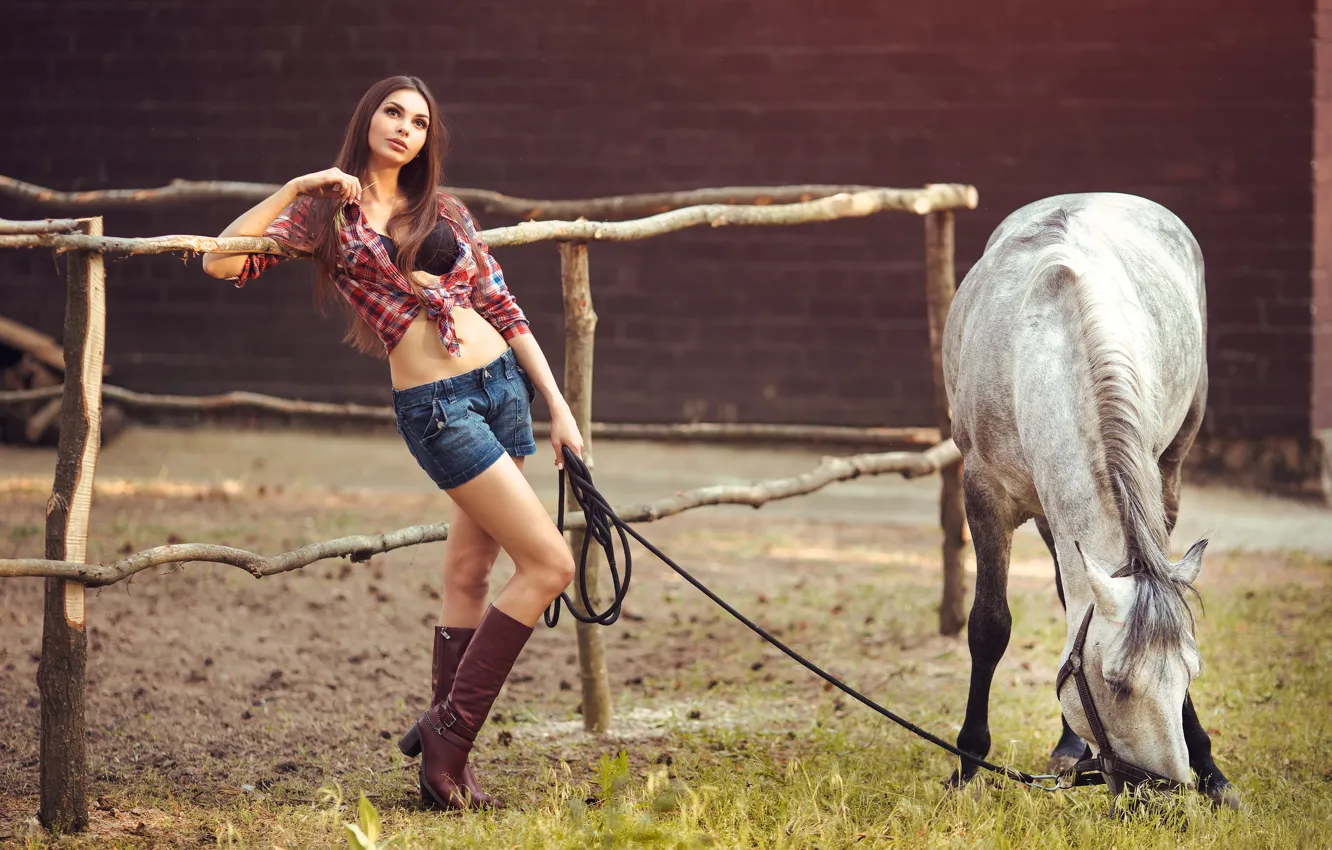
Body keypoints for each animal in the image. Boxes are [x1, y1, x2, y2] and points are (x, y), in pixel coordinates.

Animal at [948, 189, 1236, 810]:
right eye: (1115, 682)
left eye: (1190, 674)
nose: (1165, 798)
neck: (1046, 343)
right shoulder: (983, 495)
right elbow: (988, 626)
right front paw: (965, 765)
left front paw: (1210, 767)